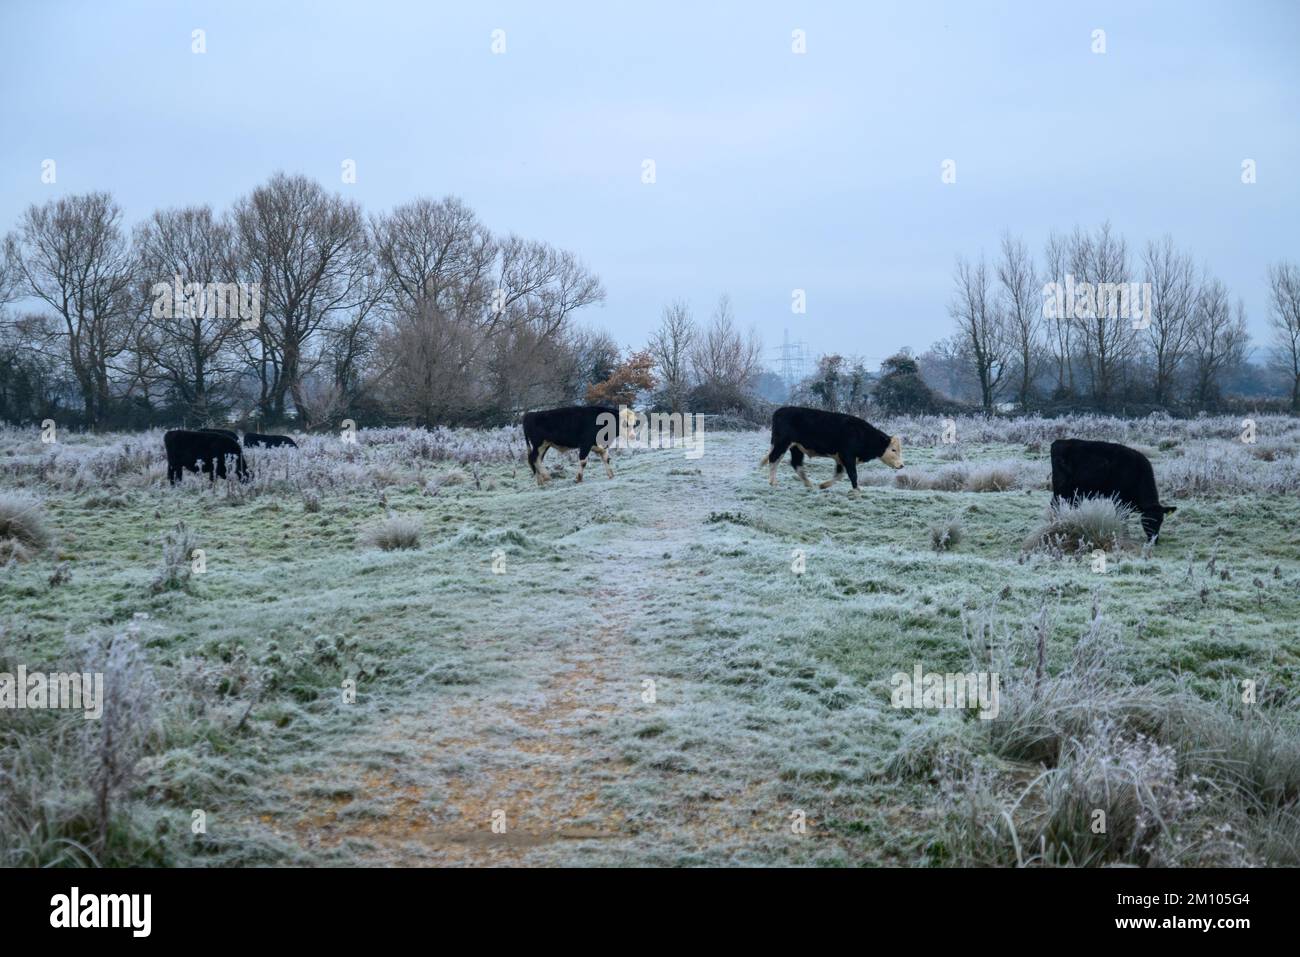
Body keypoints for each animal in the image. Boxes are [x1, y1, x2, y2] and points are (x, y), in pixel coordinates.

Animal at [759, 405, 904, 494]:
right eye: (893, 450)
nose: (902, 465)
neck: (862, 434)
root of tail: (780, 410)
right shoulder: (848, 456)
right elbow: (852, 474)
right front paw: (857, 489)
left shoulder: (841, 459)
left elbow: (839, 474)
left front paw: (823, 485)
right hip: (782, 443)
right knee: (774, 459)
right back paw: (773, 482)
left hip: (796, 447)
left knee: (796, 464)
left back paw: (808, 484)